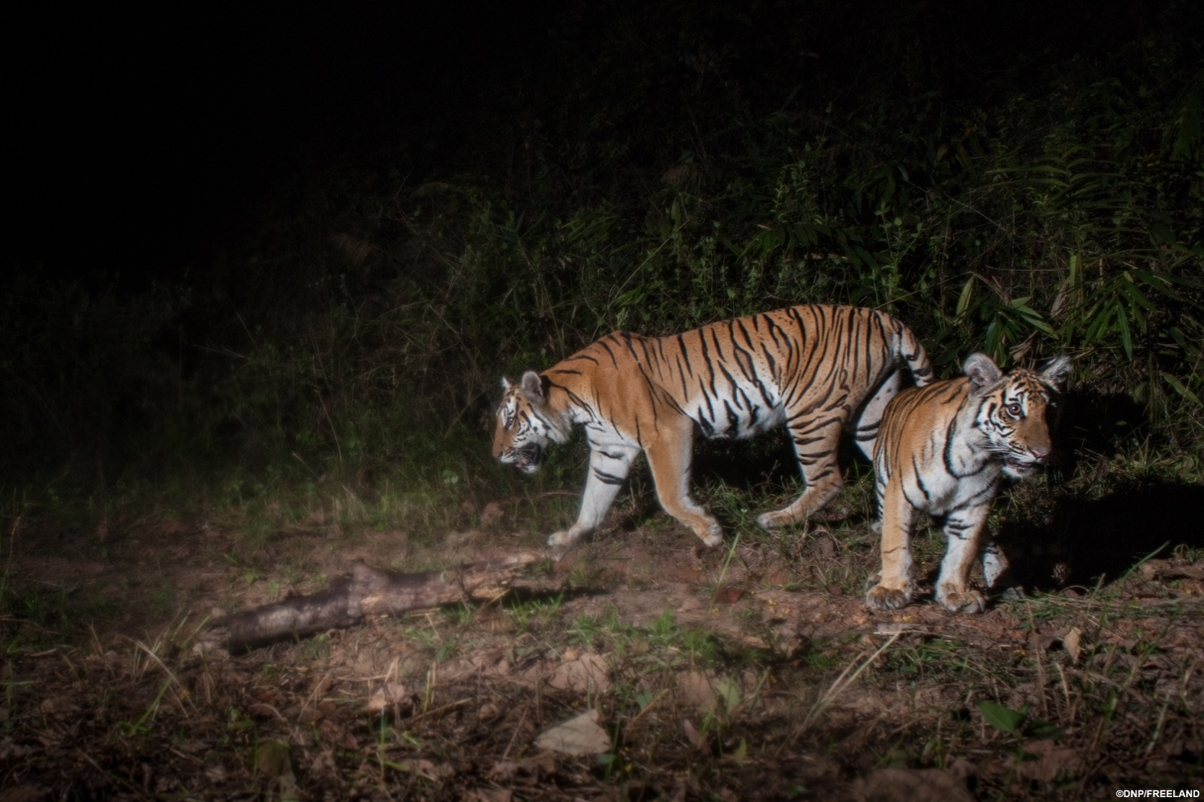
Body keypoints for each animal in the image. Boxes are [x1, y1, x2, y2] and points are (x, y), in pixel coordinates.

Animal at [493, 303, 934, 546]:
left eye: (511, 421)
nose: (495, 456)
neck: (573, 401)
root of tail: (883, 317)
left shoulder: (666, 430)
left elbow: (669, 494)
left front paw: (709, 532)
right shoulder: (610, 451)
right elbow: (593, 501)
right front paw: (571, 538)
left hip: (810, 410)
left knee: (828, 479)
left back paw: (774, 520)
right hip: (871, 412)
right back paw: (886, 525)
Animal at [866, 349, 1073, 611]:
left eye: (1051, 410)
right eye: (1015, 409)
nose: (1042, 453)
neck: (972, 456)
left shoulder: (974, 505)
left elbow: (963, 552)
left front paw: (956, 593)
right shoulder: (900, 495)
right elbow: (895, 543)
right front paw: (890, 590)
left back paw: (1007, 583)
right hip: (884, 485)